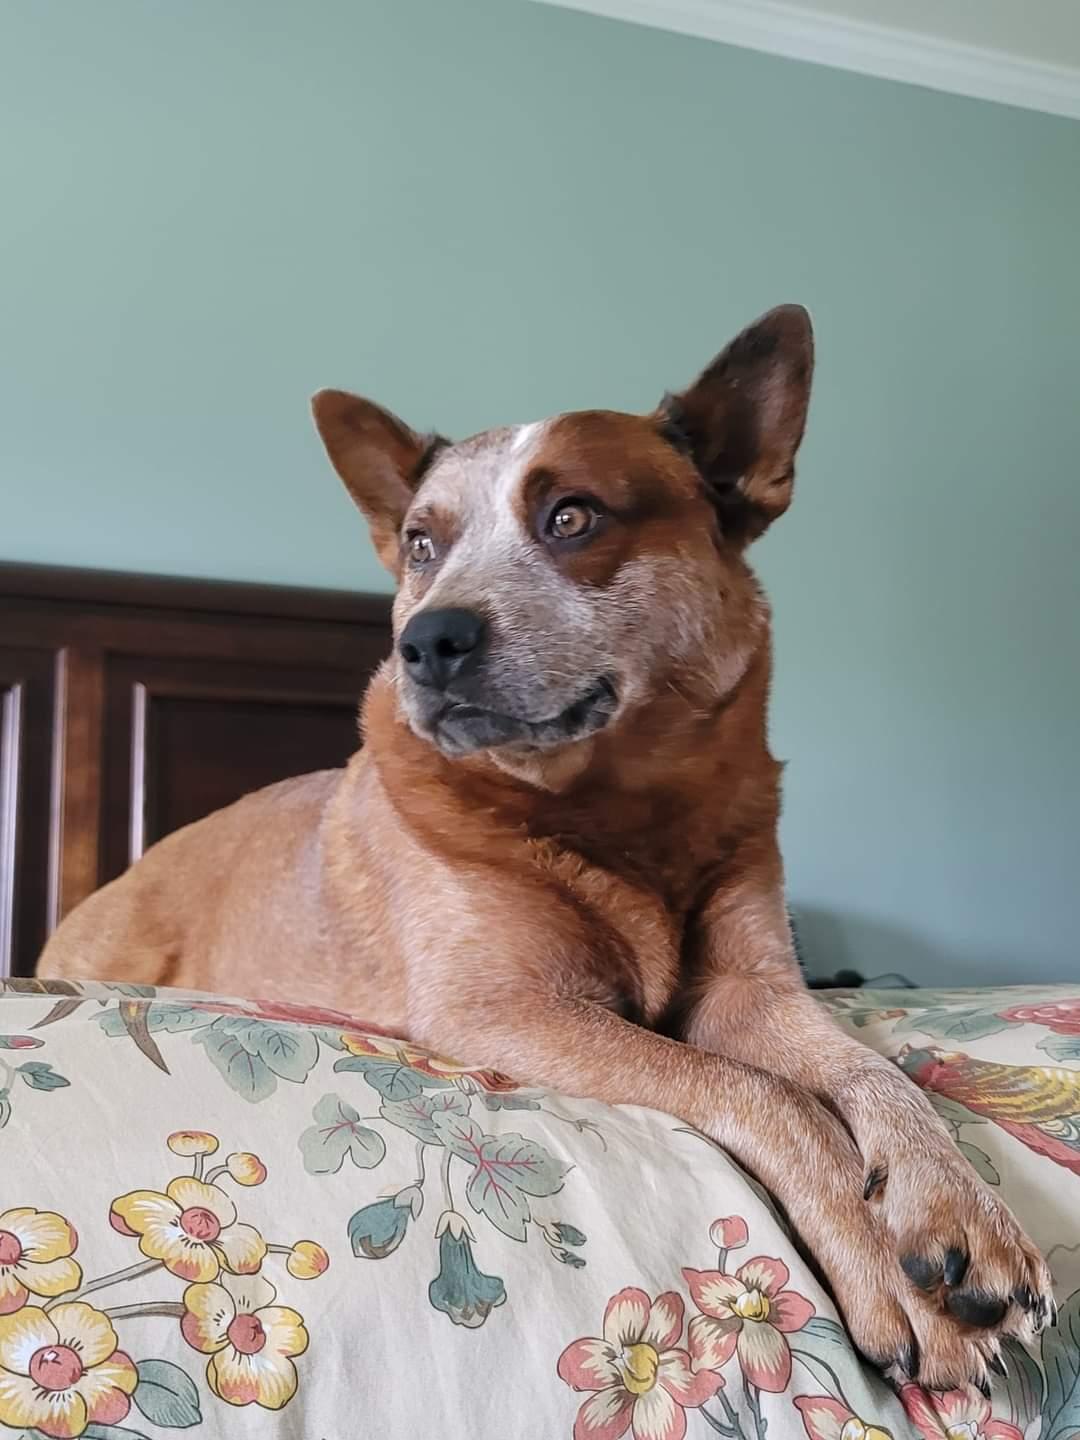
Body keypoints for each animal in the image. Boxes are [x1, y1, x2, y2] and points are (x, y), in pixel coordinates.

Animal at [37, 305, 1053, 1386]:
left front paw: (958, 1208)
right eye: (420, 544)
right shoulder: (508, 1010)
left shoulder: (753, 987)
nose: (426, 642)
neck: (616, 812)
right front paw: (889, 1275)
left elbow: (870, 1073)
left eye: (573, 516)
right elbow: (769, 1095)